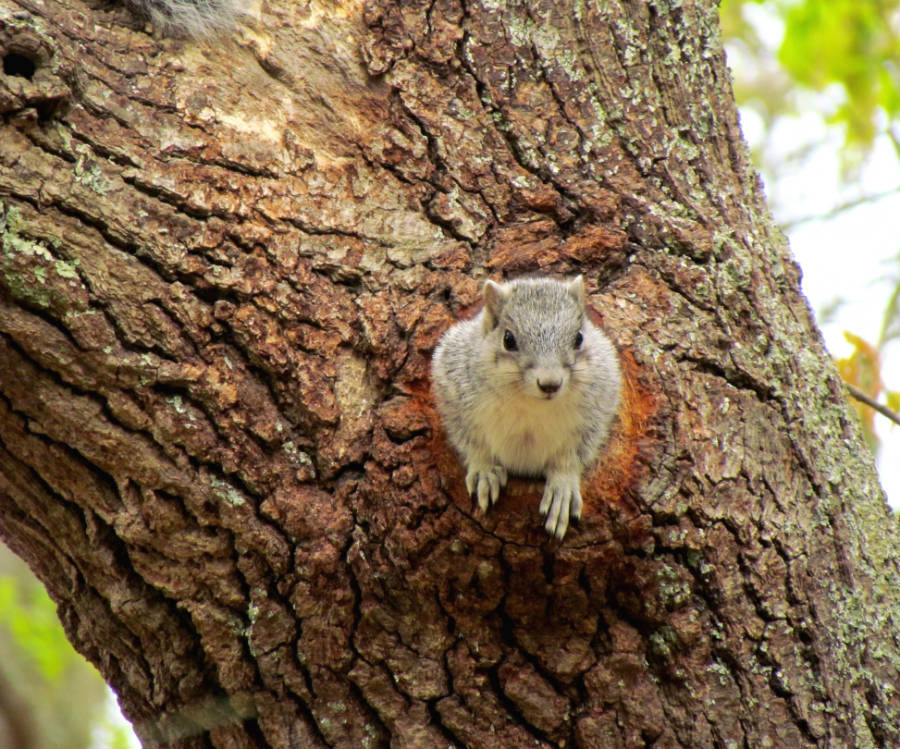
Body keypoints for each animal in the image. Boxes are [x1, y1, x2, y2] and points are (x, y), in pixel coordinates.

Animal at [434, 274, 624, 536]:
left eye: (579, 338)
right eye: (508, 339)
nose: (550, 384)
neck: (531, 404)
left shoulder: (597, 407)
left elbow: (571, 455)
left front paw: (562, 486)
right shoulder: (453, 391)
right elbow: (473, 442)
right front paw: (484, 470)